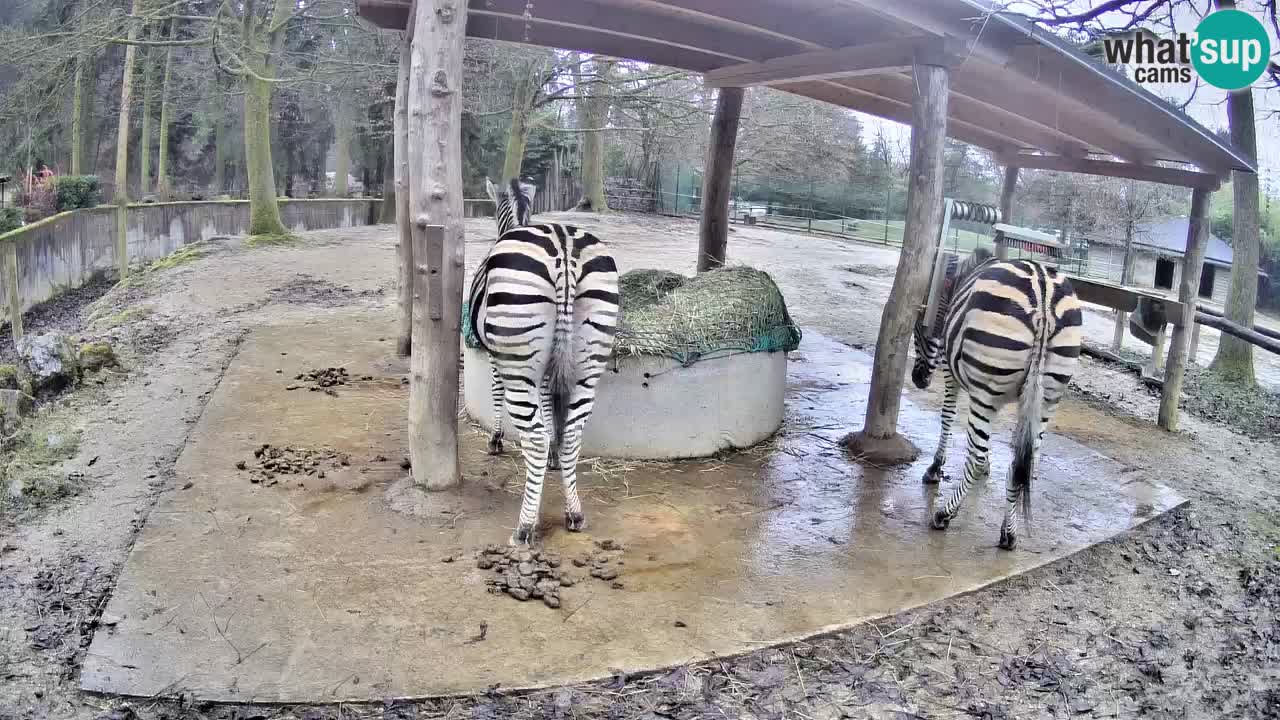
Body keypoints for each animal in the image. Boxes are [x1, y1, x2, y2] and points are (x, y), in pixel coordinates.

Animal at [468, 178, 620, 545]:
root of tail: (565, 245)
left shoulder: (497, 355)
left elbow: (496, 393)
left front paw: (496, 439)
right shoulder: (551, 367)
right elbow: (551, 407)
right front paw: (554, 453)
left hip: (519, 362)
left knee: (533, 438)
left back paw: (525, 527)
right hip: (588, 361)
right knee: (574, 433)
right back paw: (574, 513)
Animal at [911, 246, 1082, 550]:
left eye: (918, 329)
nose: (917, 380)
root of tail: (1043, 293)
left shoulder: (954, 375)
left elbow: (948, 418)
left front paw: (935, 468)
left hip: (987, 389)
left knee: (977, 457)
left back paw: (944, 515)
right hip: (1047, 397)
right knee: (1020, 464)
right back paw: (1009, 533)